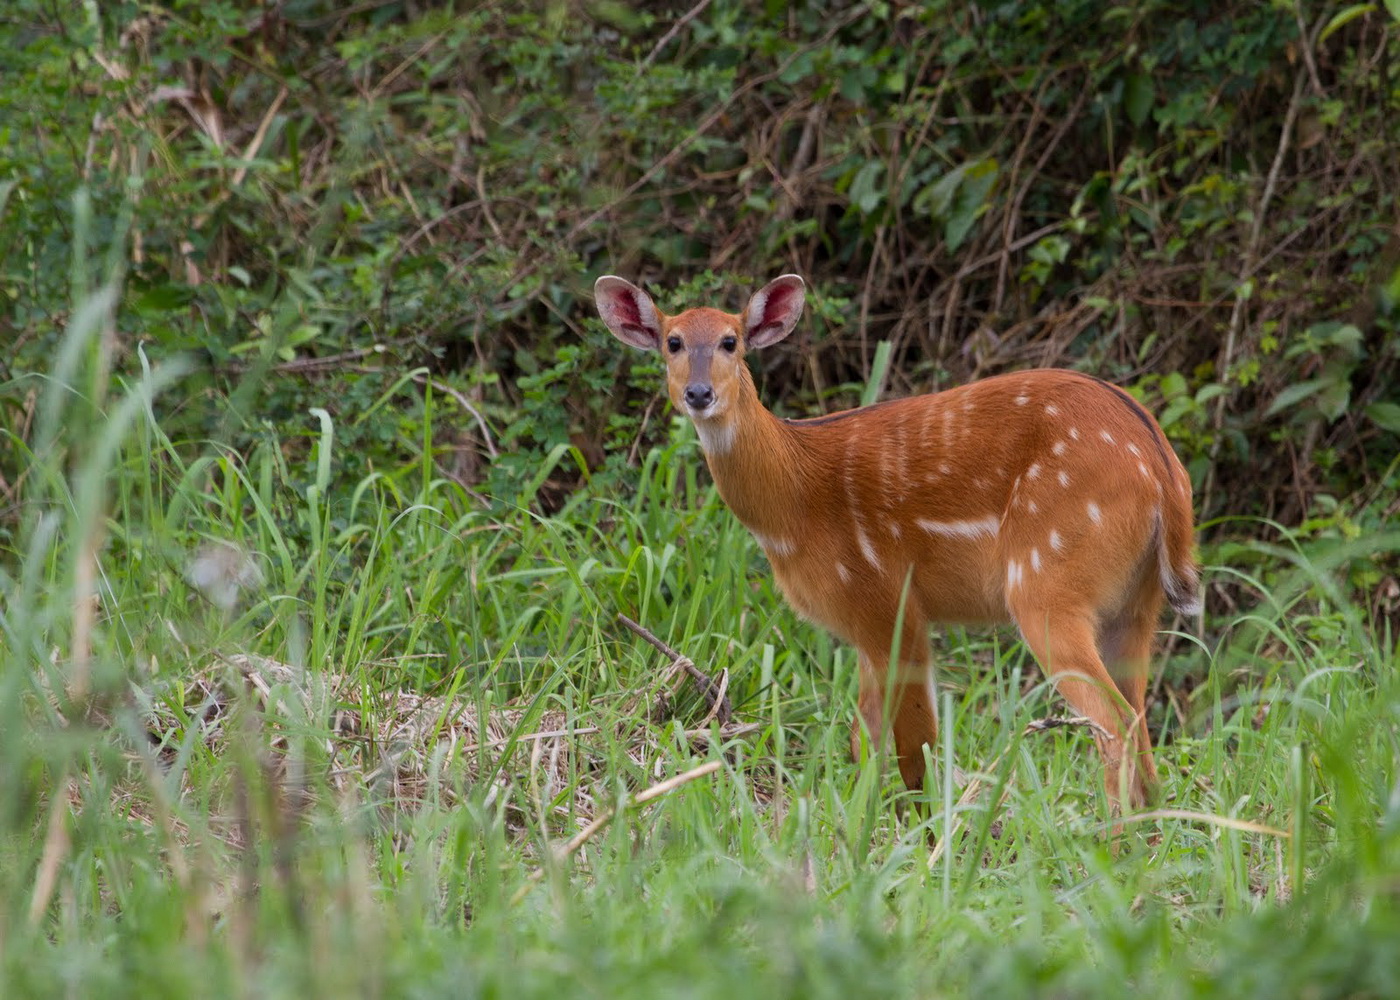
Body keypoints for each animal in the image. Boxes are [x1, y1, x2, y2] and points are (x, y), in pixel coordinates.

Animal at [596, 273, 1198, 812]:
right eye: (673, 341)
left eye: (731, 340)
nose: (699, 393)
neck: (793, 505)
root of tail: (1163, 471)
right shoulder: (866, 625)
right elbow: (864, 740)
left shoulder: (887, 599)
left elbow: (914, 750)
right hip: (1135, 604)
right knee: (1140, 721)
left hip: (1046, 581)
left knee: (1113, 718)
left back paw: (1110, 839)